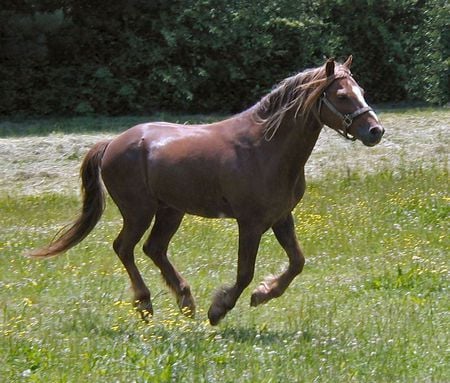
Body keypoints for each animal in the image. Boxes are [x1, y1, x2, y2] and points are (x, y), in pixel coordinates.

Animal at [29, 56, 384, 328]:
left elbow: (297, 262)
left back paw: (186, 301)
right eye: (342, 95)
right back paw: (146, 305)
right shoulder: (250, 223)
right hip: (139, 211)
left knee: (153, 249)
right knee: (124, 248)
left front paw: (263, 293)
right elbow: (244, 272)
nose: (375, 131)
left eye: (362, 91)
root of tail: (111, 143)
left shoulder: (281, 217)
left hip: (170, 211)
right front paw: (220, 309)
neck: (264, 147)